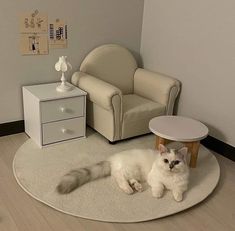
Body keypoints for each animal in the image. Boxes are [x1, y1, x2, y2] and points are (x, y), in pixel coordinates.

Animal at [57, 145, 189, 201]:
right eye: (166, 161)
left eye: (176, 162)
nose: (170, 166)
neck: (169, 177)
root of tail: (112, 158)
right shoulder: (154, 178)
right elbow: (159, 186)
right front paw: (158, 194)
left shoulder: (182, 184)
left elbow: (178, 190)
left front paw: (178, 198)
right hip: (131, 169)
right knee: (119, 177)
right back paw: (128, 189)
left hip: (134, 173)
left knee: (129, 179)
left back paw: (137, 187)